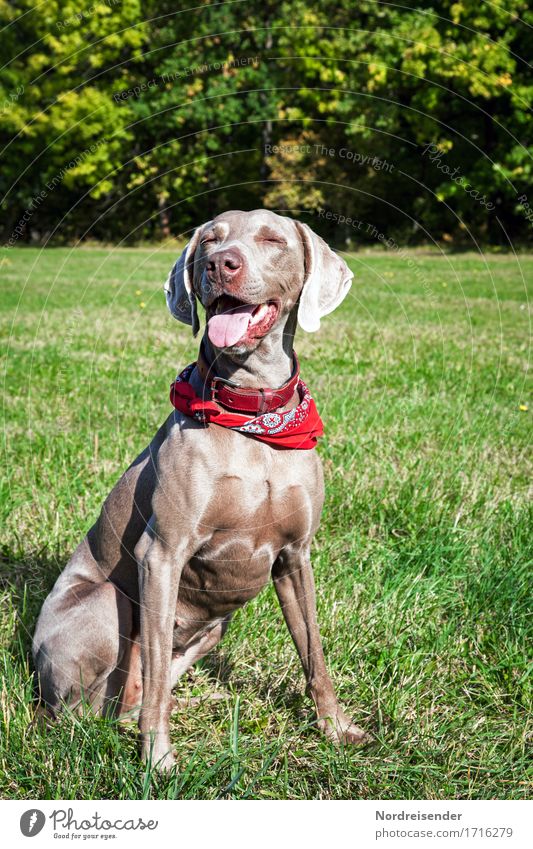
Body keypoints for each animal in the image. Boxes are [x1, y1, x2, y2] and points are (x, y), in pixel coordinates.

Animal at [32, 210, 366, 768]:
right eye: (210, 239)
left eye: (272, 238)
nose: (219, 264)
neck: (253, 417)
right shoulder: (162, 553)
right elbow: (155, 680)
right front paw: (158, 760)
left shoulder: (295, 556)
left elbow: (314, 652)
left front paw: (337, 728)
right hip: (108, 603)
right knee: (85, 710)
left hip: (215, 629)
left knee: (137, 696)